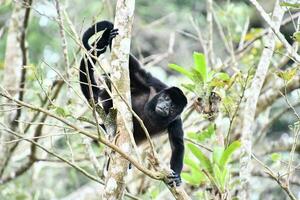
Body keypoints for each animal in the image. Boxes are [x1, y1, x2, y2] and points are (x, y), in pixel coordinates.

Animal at [79, 20, 188, 186]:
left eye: (173, 106)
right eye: (166, 99)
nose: (164, 106)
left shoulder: (176, 121)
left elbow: (177, 145)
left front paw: (177, 176)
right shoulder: (154, 83)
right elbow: (134, 69)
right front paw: (107, 38)